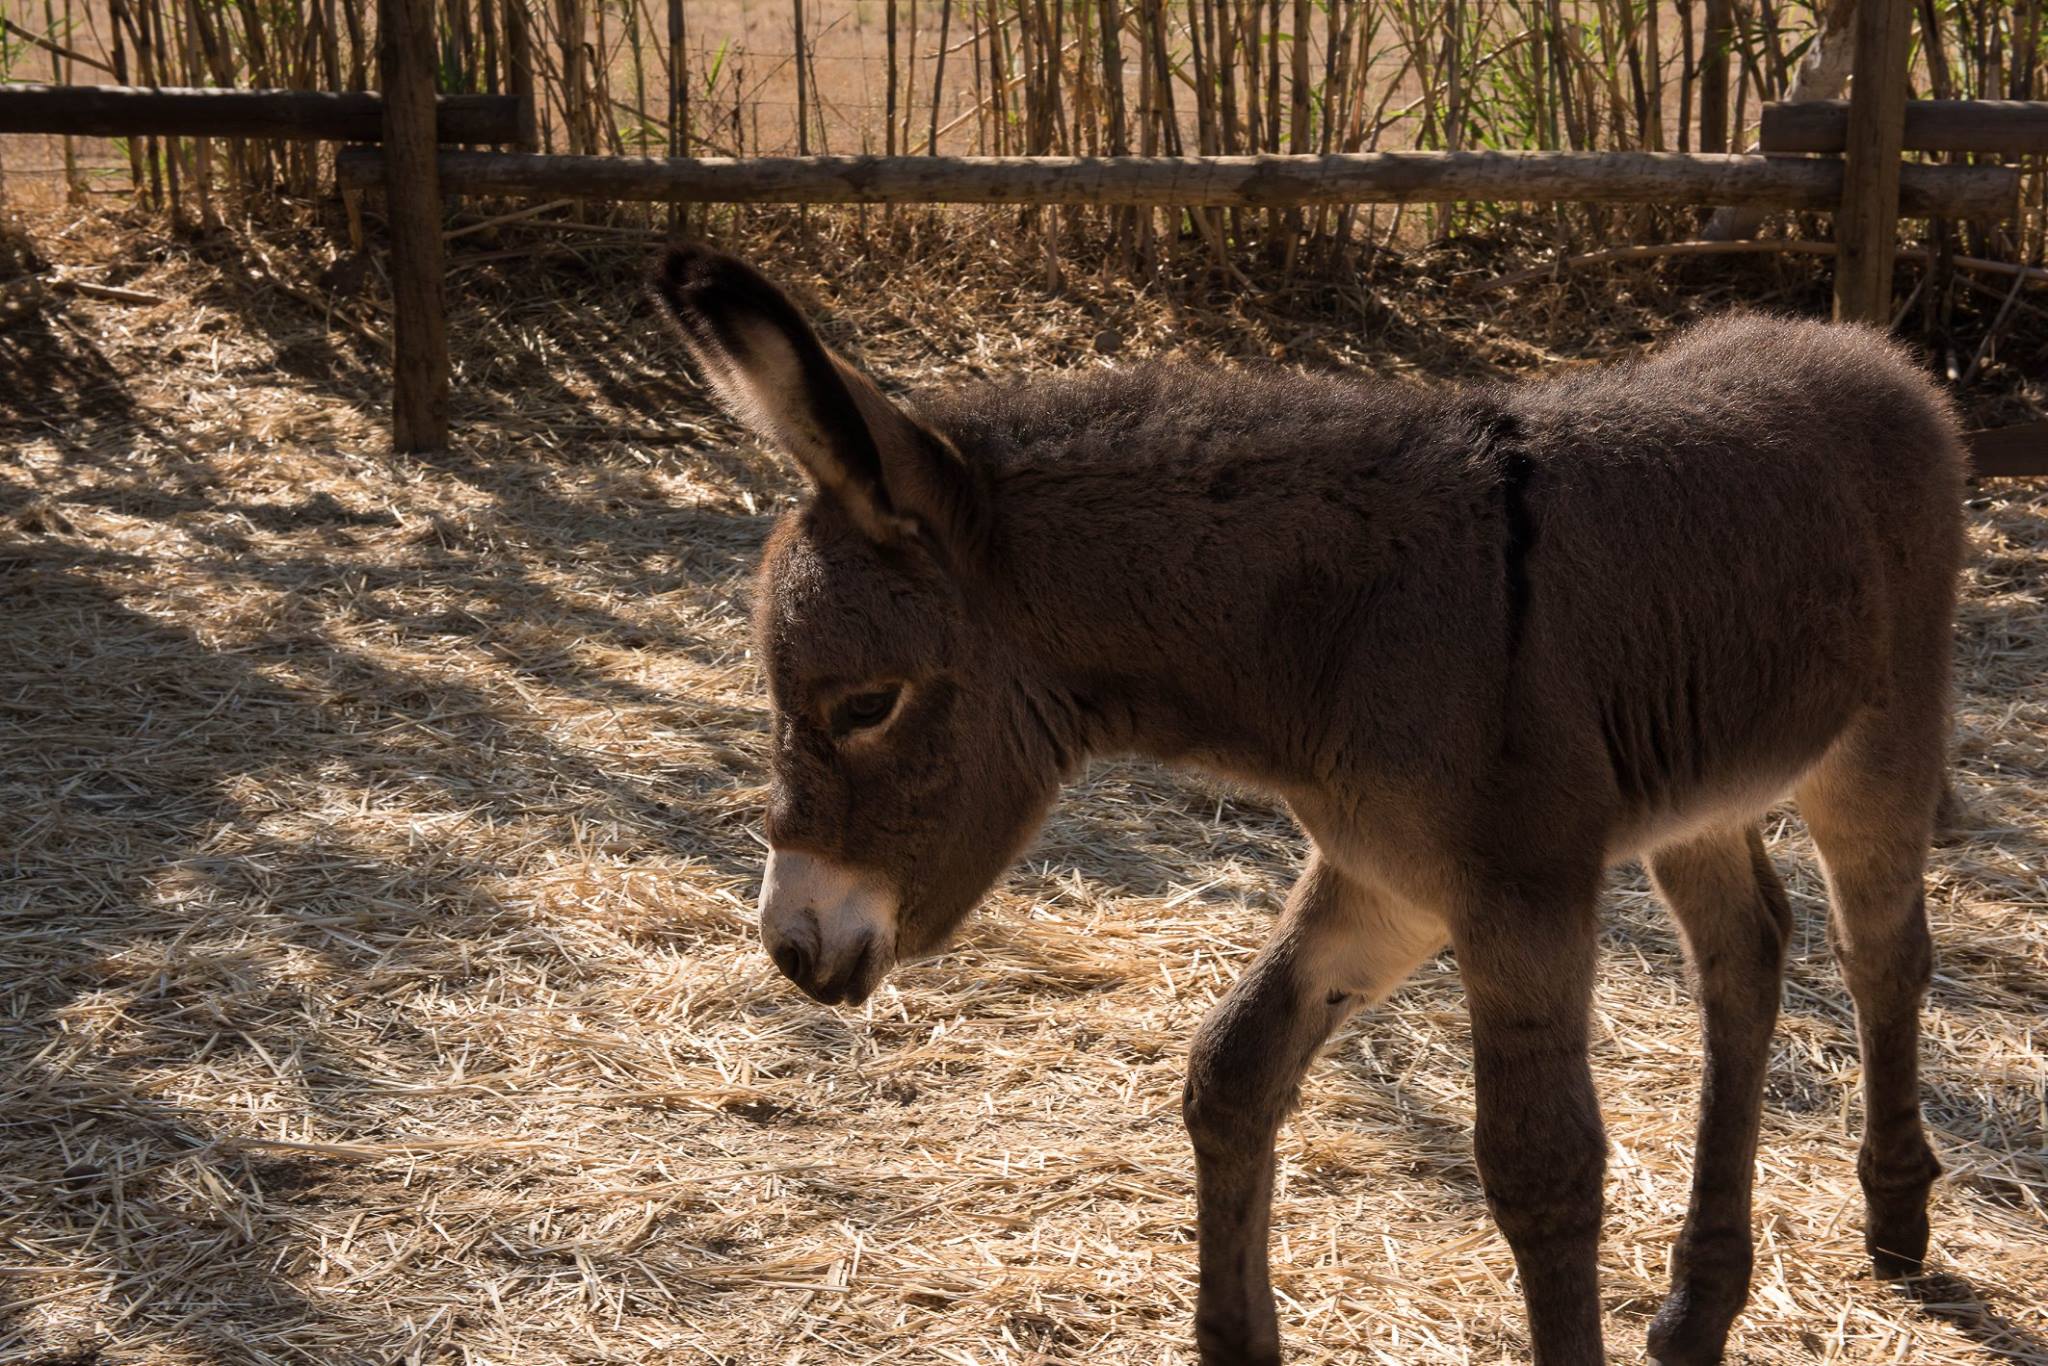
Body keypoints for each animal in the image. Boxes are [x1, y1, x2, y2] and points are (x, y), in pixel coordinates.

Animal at [655, 248, 1966, 1366]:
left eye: (865, 704)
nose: (792, 947)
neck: (1337, 631)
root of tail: (1866, 349)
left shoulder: (1518, 892)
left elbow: (1539, 1168)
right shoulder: (1384, 879)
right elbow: (1230, 1069)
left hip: (1875, 743)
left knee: (1881, 951)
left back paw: (1895, 1214)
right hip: (1697, 792)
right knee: (1746, 949)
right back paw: (1700, 1304)